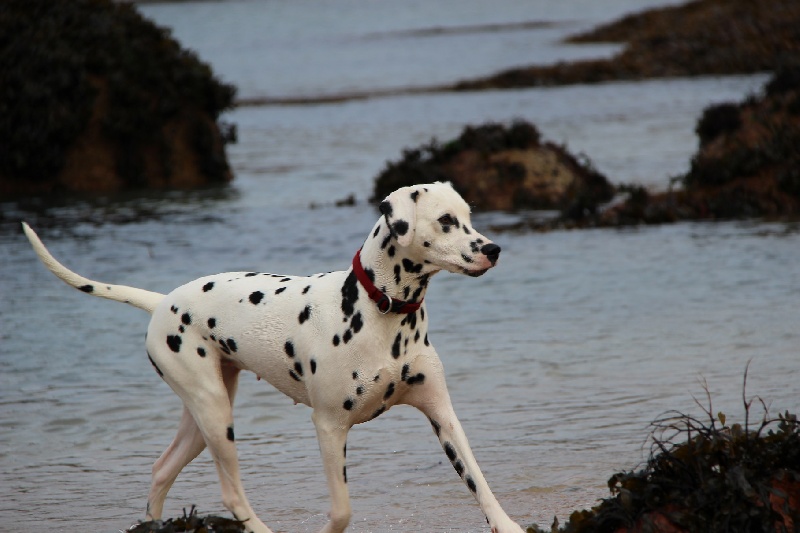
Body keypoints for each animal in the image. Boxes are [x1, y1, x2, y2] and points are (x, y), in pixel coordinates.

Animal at [20, 182, 524, 532]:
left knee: (161, 470)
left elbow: (479, 482)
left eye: (468, 216)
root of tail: (163, 302)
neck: (379, 312)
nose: (494, 249)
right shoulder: (329, 427)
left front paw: (507, 523)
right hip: (216, 417)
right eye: (444, 220)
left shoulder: (442, 415)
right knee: (231, 495)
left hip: (201, 418)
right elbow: (341, 511)